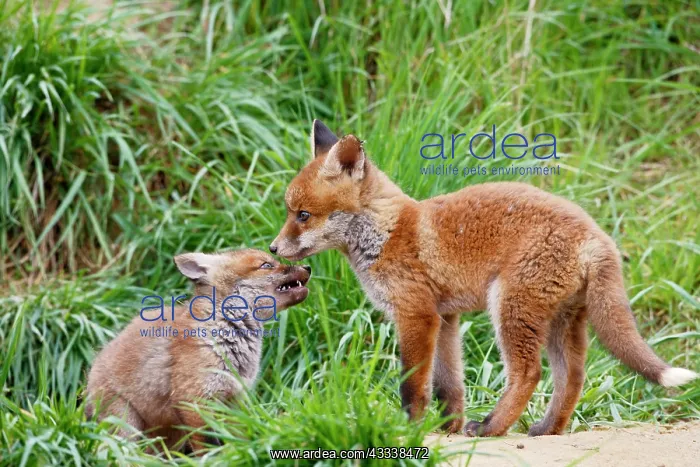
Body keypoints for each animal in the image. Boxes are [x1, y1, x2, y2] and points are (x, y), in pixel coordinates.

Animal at [85, 249, 311, 452]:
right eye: (266, 265)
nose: (308, 267)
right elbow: (209, 447)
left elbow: (239, 439)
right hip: (127, 427)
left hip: (170, 436)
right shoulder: (195, 402)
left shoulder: (234, 401)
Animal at [270, 119, 698, 437]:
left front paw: (408, 429)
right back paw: (547, 429)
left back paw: (492, 427)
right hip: (562, 321)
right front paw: (447, 427)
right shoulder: (445, 318)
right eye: (291, 212)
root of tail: (597, 234)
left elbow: (413, 384)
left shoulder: (416, 314)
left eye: (303, 215)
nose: (273, 248)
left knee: (529, 373)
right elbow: (449, 383)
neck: (387, 233)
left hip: (510, 308)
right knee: (573, 376)